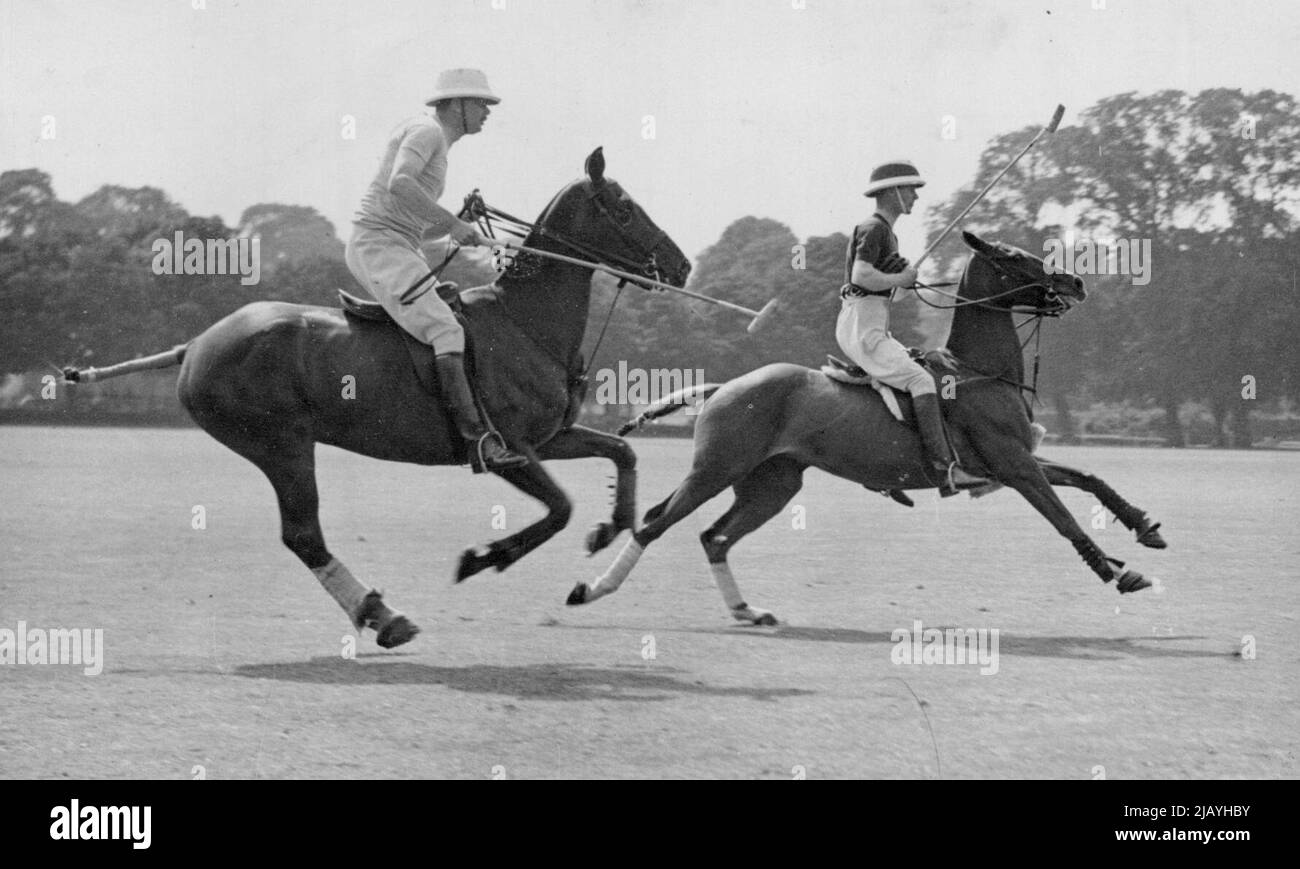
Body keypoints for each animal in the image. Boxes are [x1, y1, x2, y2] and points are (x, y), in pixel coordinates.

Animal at [61, 149, 691, 647]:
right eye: (624, 206)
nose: (681, 265)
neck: (526, 321)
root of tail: (194, 344)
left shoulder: (550, 437)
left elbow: (622, 452)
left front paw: (609, 528)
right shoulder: (508, 448)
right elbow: (560, 508)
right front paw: (484, 557)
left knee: (303, 535)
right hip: (280, 444)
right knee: (303, 534)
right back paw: (383, 615)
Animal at [569, 230, 1170, 624]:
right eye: (1017, 258)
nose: (1076, 281)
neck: (978, 369)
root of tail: (722, 388)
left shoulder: (1010, 461)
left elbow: (1089, 477)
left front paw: (1146, 527)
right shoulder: (1015, 465)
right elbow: (1063, 518)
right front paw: (1118, 572)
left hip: (772, 483)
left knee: (714, 536)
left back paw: (747, 610)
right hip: (716, 468)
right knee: (655, 523)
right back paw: (593, 589)